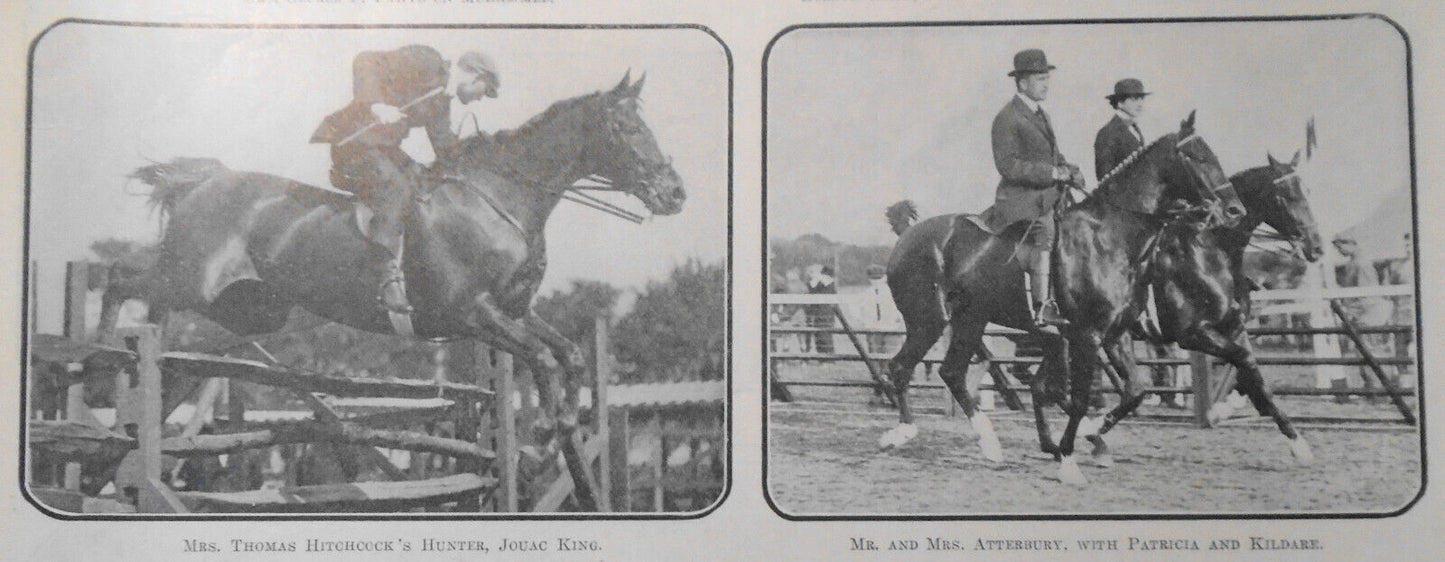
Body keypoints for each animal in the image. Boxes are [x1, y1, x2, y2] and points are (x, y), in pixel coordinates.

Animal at [98, 72, 684, 510]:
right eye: (627, 128)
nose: (675, 193)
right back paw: (105, 353)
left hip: (248, 311)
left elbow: (569, 356)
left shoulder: (515, 310)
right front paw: (540, 438)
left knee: (170, 333)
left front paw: (553, 433)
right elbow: (541, 357)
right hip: (190, 280)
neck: (498, 203)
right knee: (121, 279)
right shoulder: (471, 313)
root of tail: (201, 182)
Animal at [880, 112, 1240, 485]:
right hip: (929, 321)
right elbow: (1077, 398)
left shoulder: (1115, 333)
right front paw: (1070, 457)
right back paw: (904, 431)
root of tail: (907, 237)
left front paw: (1086, 438)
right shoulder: (1088, 335)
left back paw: (989, 444)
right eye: (1198, 157)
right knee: (901, 367)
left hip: (971, 319)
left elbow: (1133, 392)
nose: (1233, 210)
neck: (1112, 236)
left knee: (951, 372)